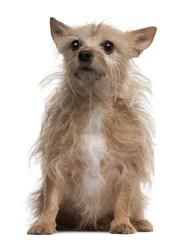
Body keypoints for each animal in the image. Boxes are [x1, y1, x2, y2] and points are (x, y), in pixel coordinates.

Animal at [26, 17, 156, 234]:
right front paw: (44, 223)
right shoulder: (58, 163)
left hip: (136, 196)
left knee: (135, 204)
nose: (84, 53)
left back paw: (138, 221)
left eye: (108, 46)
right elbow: (51, 199)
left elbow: (123, 198)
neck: (94, 102)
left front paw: (122, 223)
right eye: (75, 44)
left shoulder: (127, 165)